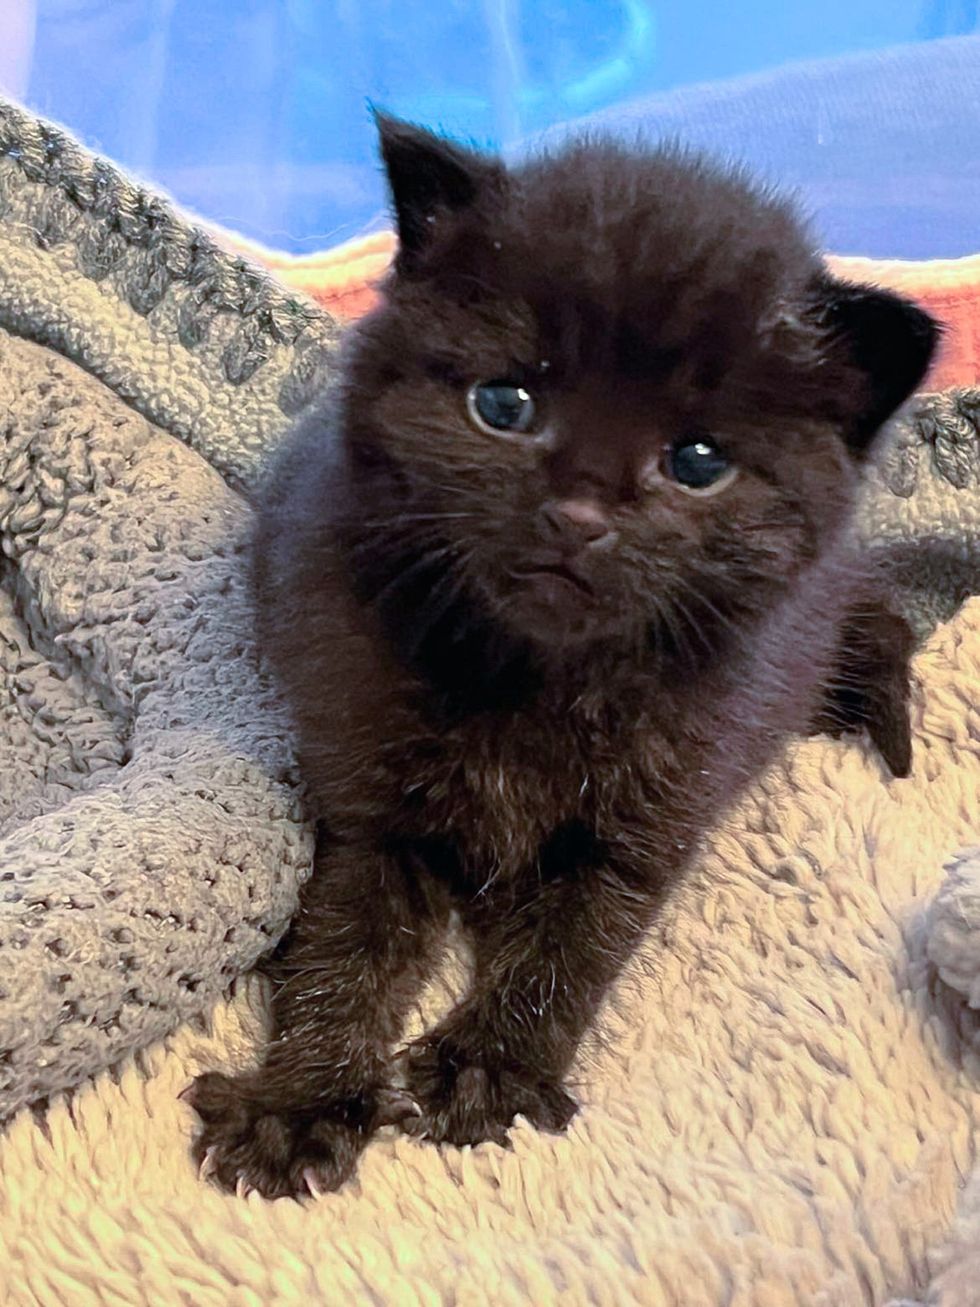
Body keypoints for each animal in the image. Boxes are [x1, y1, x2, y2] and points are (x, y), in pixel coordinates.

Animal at [184, 112, 935, 1197]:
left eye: (697, 461)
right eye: (504, 404)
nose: (577, 514)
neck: (535, 680)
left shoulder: (651, 818)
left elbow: (574, 947)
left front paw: (487, 1069)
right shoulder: (367, 797)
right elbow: (343, 945)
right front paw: (300, 1103)